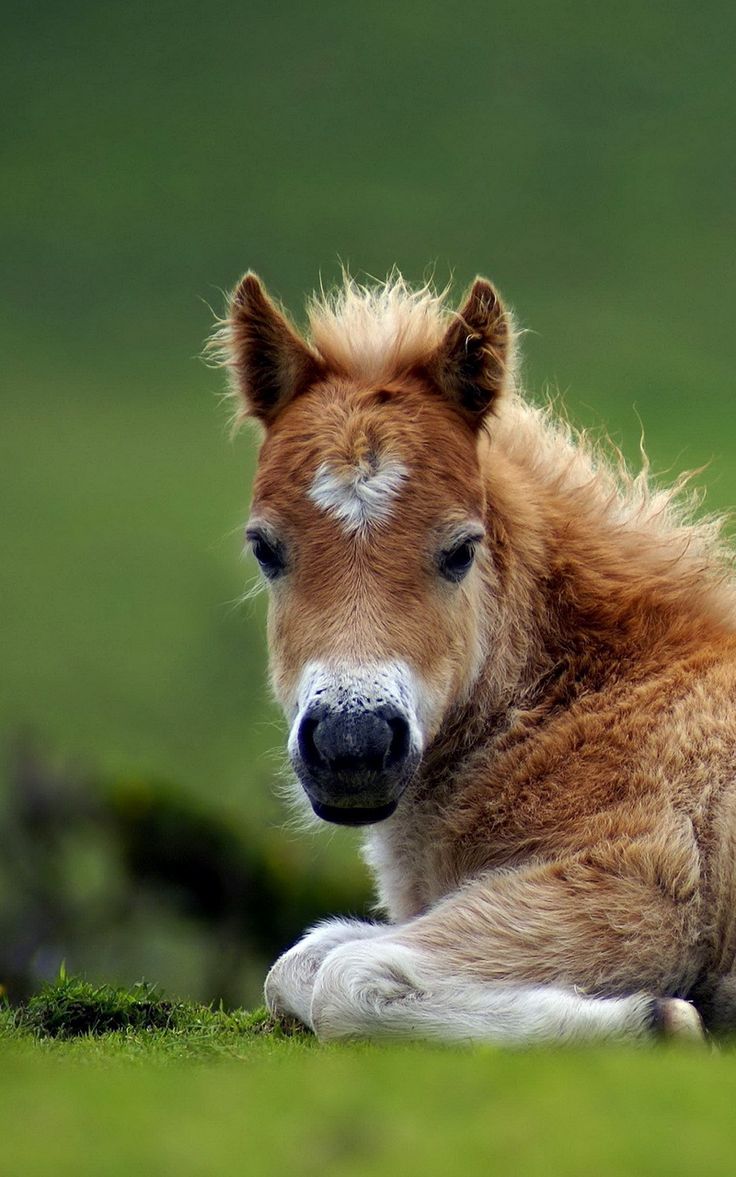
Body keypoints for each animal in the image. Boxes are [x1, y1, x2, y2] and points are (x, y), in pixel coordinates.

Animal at [212, 269, 736, 1044]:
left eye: (461, 549)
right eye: (265, 548)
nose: (351, 745)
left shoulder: (639, 885)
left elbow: (348, 977)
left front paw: (661, 1018)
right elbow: (301, 962)